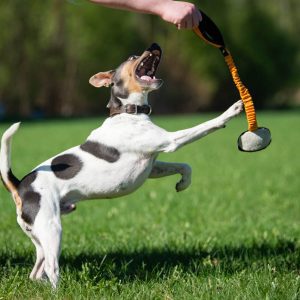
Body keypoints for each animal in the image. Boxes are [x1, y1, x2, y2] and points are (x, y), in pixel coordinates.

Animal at [0, 43, 244, 288]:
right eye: (132, 56)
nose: (154, 45)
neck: (129, 112)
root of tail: (19, 186)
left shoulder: (152, 166)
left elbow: (184, 166)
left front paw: (183, 184)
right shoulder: (170, 141)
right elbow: (207, 125)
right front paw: (232, 110)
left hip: (39, 236)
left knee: (36, 272)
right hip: (52, 228)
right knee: (51, 268)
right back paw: (58, 291)